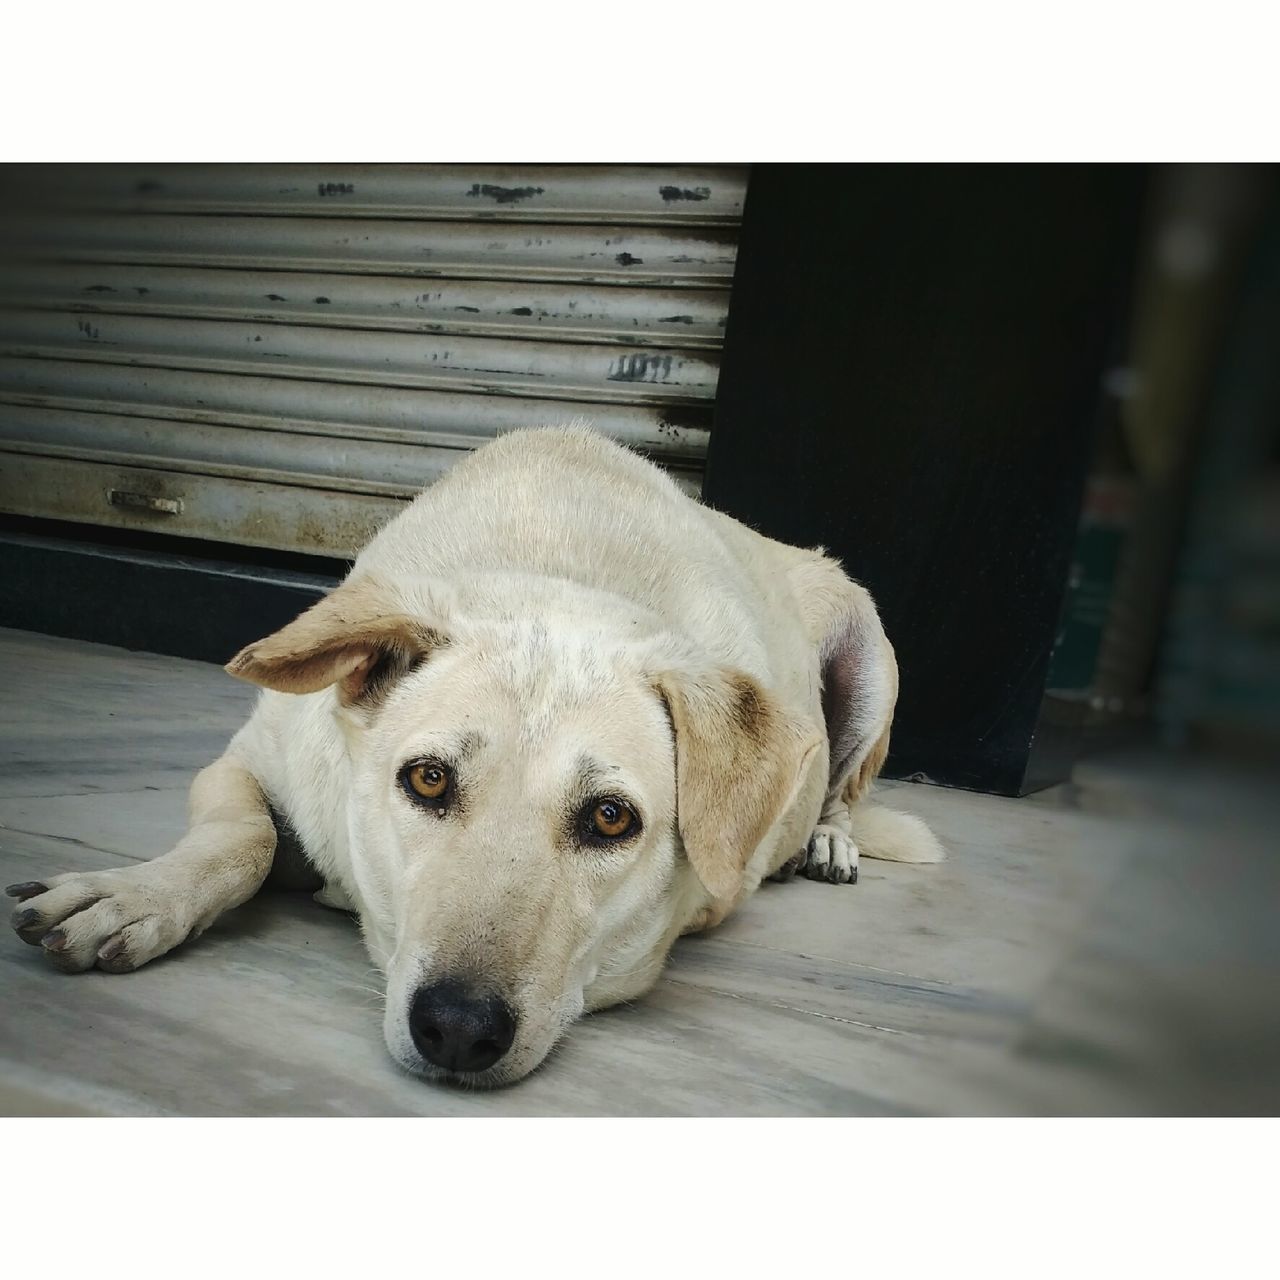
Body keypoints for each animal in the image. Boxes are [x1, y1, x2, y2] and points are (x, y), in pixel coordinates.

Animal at [2, 427, 942, 1080]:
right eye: (427, 779)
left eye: (611, 819)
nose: (457, 1029)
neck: (558, 566)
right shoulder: (251, 758)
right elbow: (244, 836)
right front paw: (134, 896)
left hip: (874, 653)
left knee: (846, 788)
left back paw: (828, 841)